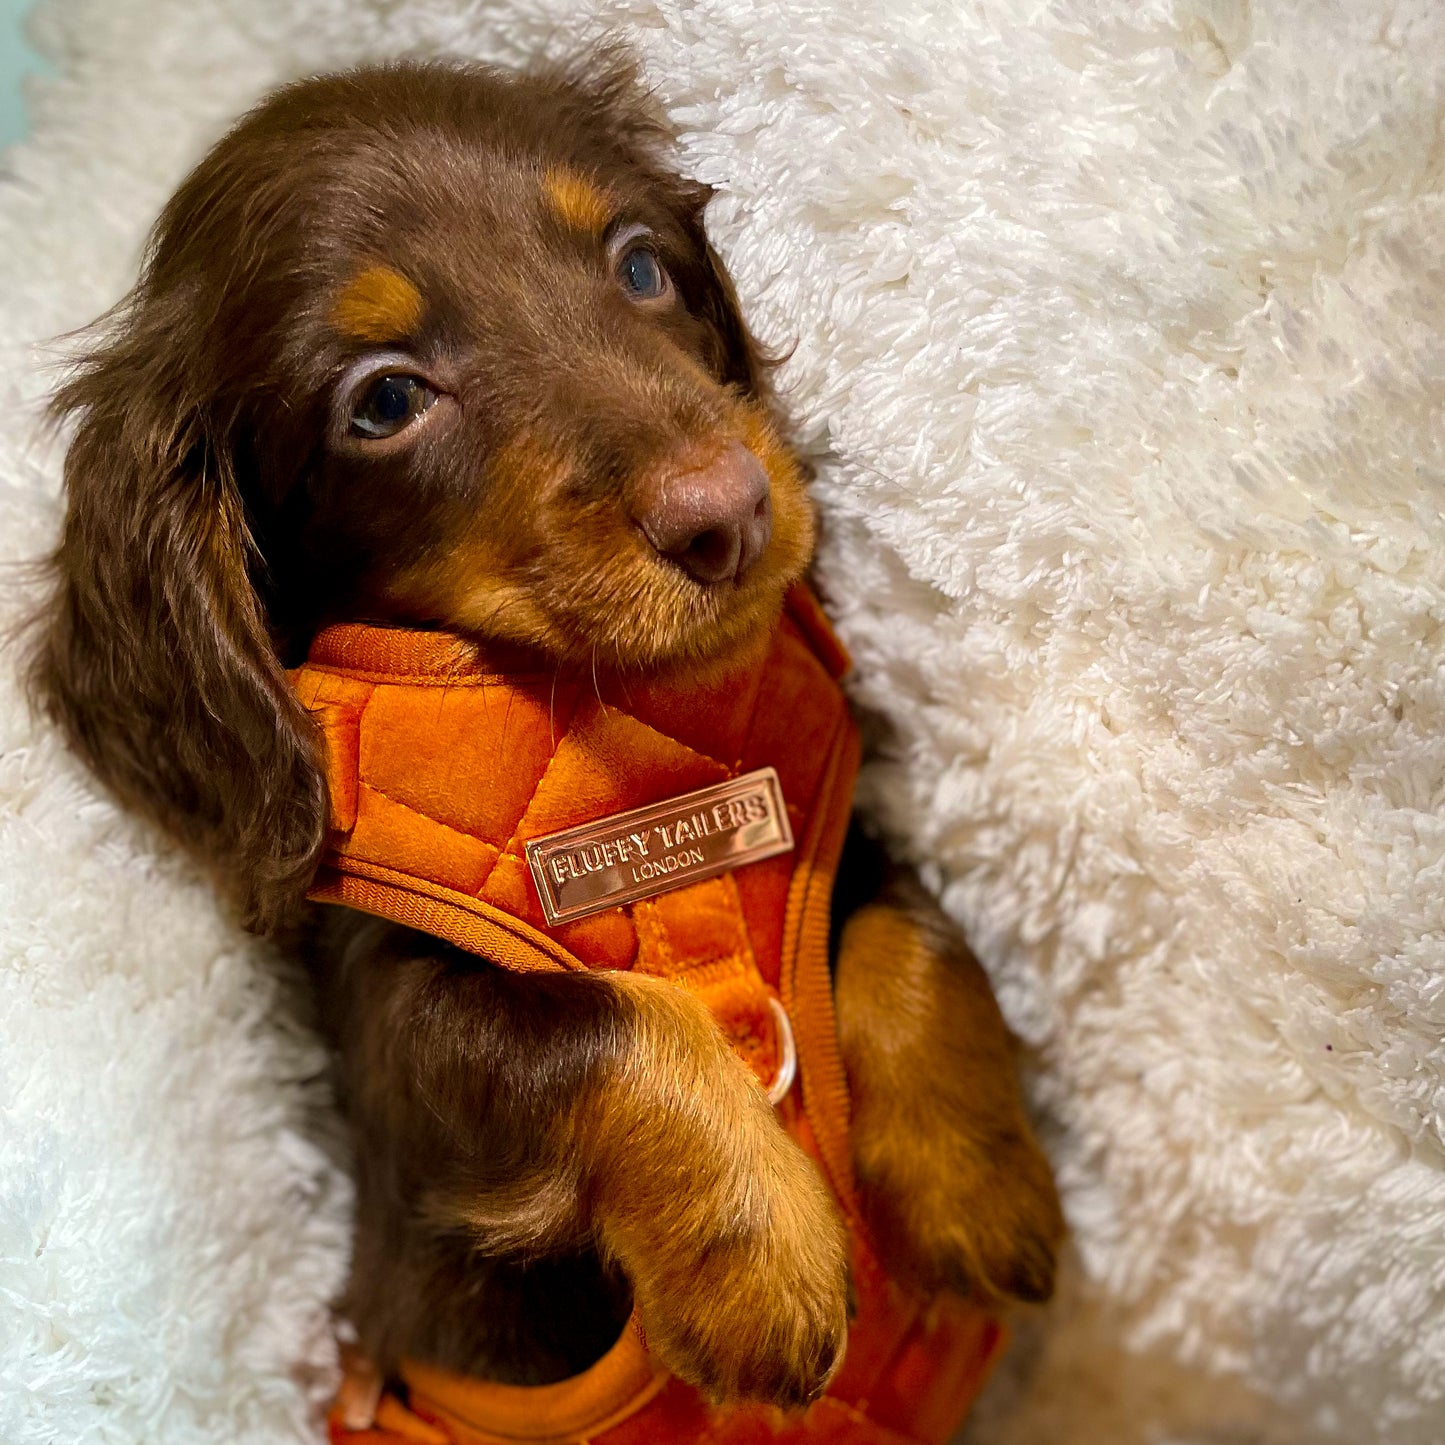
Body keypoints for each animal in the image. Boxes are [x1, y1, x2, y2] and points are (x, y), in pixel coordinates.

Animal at [25, 59, 1063, 1410]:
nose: (727, 513)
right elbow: (592, 1025)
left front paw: (978, 1182)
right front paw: (756, 1253)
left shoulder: (828, 841)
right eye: (385, 400)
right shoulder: (396, 1038)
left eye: (640, 266)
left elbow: (906, 924)